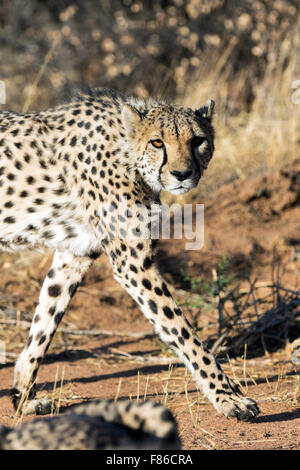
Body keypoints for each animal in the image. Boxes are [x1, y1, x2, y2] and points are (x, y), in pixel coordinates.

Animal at [0, 86, 258, 420]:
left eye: (197, 141)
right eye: (157, 142)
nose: (182, 173)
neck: (127, 152)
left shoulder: (75, 254)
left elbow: (44, 325)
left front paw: (23, 398)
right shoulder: (134, 264)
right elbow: (183, 332)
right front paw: (228, 397)